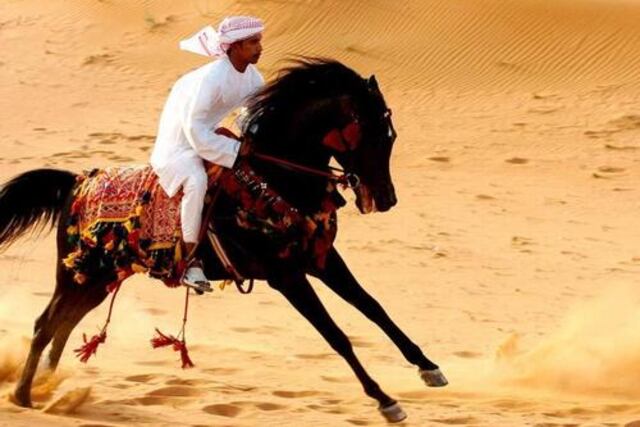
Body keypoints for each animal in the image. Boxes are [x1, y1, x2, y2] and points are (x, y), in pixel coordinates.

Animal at [0, 58, 447, 422]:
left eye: (391, 136)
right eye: (375, 136)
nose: (385, 199)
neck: (275, 180)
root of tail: (77, 181)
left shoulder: (322, 260)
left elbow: (373, 308)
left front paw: (428, 367)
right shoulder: (287, 277)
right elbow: (337, 336)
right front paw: (386, 401)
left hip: (98, 280)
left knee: (64, 324)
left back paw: (46, 385)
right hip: (78, 275)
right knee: (45, 323)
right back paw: (25, 395)